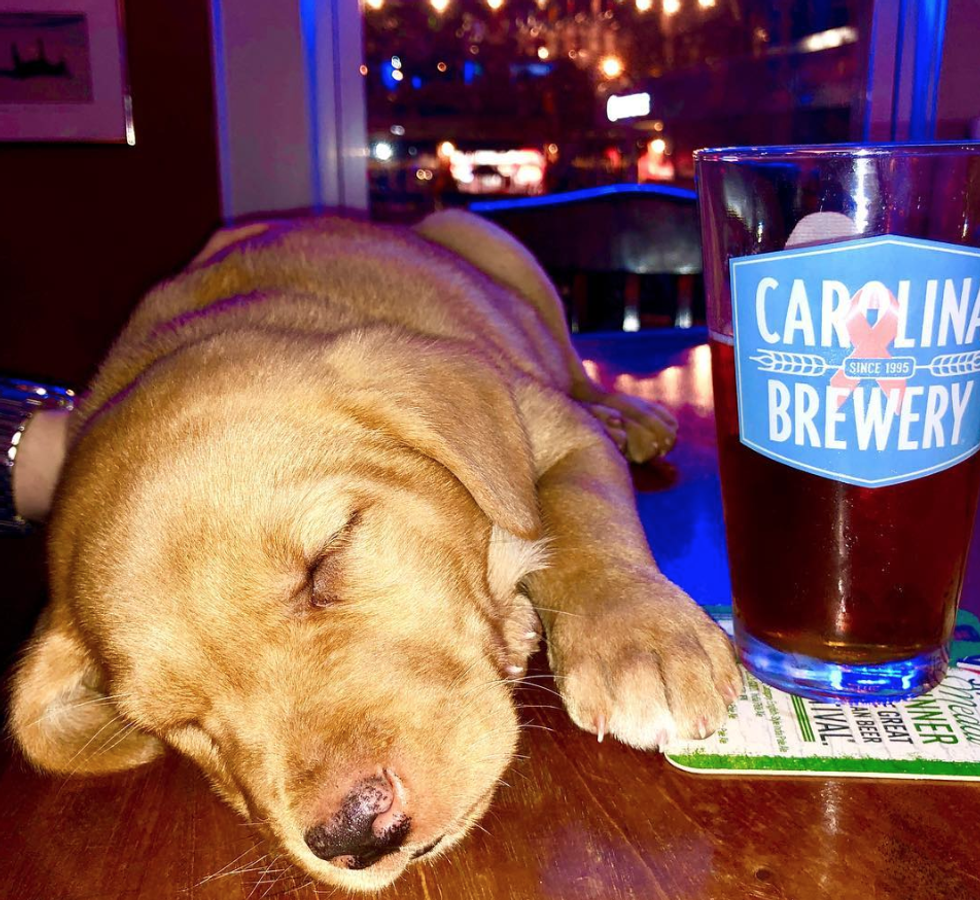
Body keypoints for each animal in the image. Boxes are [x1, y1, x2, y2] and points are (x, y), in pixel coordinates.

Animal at [9, 213, 739, 892]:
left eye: (329, 556)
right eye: (176, 721)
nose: (356, 833)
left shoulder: (555, 428)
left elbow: (586, 519)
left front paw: (640, 635)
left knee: (580, 374)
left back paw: (629, 414)